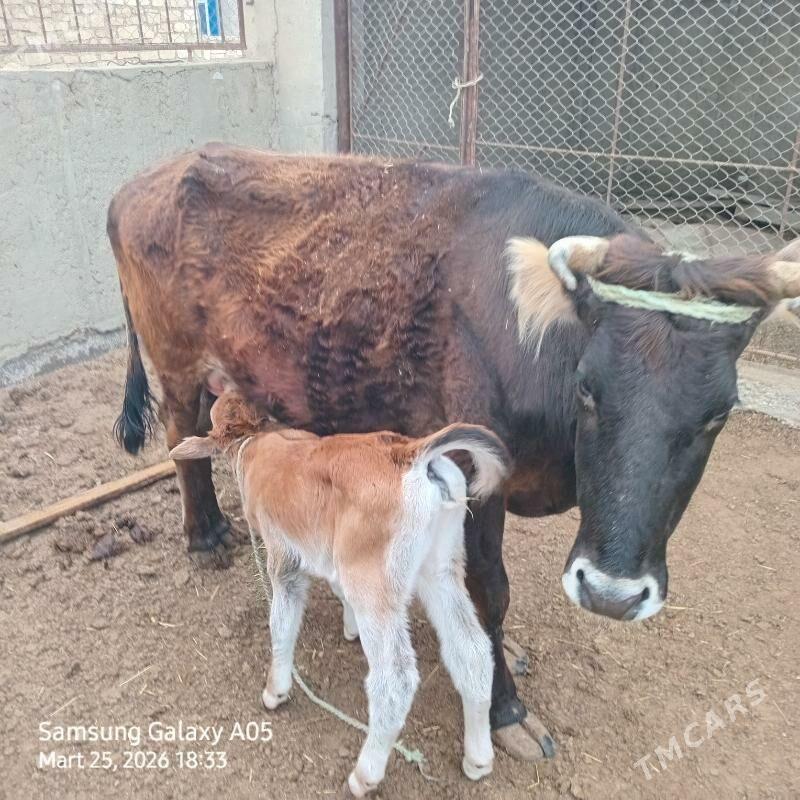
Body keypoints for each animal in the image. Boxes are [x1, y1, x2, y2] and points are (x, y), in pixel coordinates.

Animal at [108, 144, 800, 761]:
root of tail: (143, 180)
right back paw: (206, 537)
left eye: (719, 413)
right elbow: (489, 588)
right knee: (182, 441)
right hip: (175, 363)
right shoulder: (476, 474)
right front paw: (505, 710)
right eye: (587, 387)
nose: (611, 594)